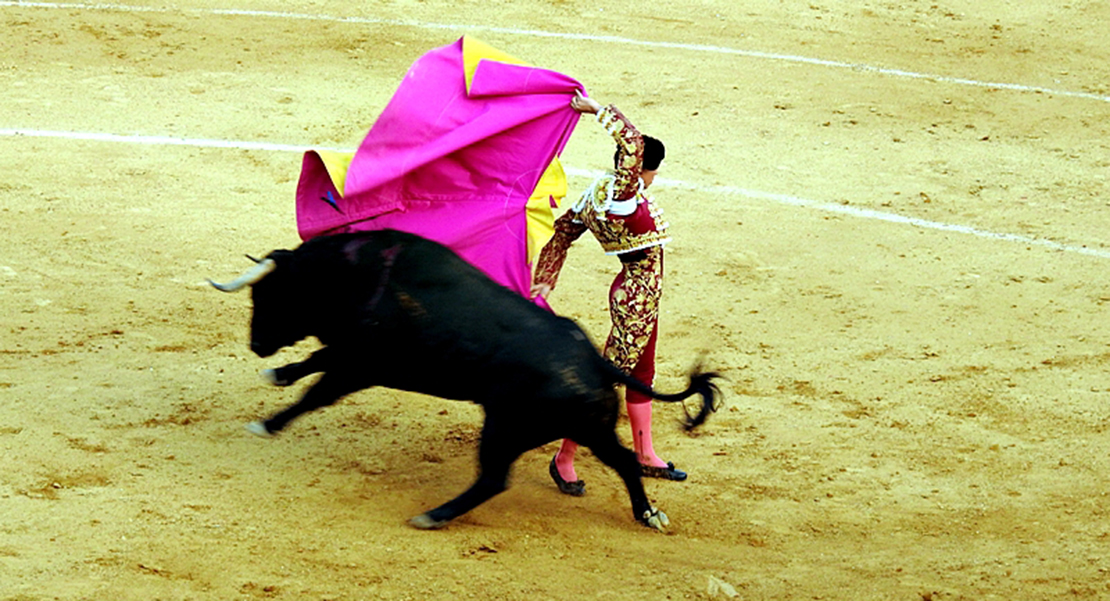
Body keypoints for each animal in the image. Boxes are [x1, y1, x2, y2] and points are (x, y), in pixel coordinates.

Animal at [209, 229, 719, 528]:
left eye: (269, 293)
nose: (256, 344)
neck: (354, 273)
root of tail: (596, 360)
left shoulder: (363, 364)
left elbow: (316, 389)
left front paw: (268, 421)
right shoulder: (356, 357)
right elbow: (315, 362)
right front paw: (277, 374)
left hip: (505, 427)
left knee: (493, 479)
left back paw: (433, 515)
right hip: (591, 427)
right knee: (625, 462)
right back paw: (648, 514)